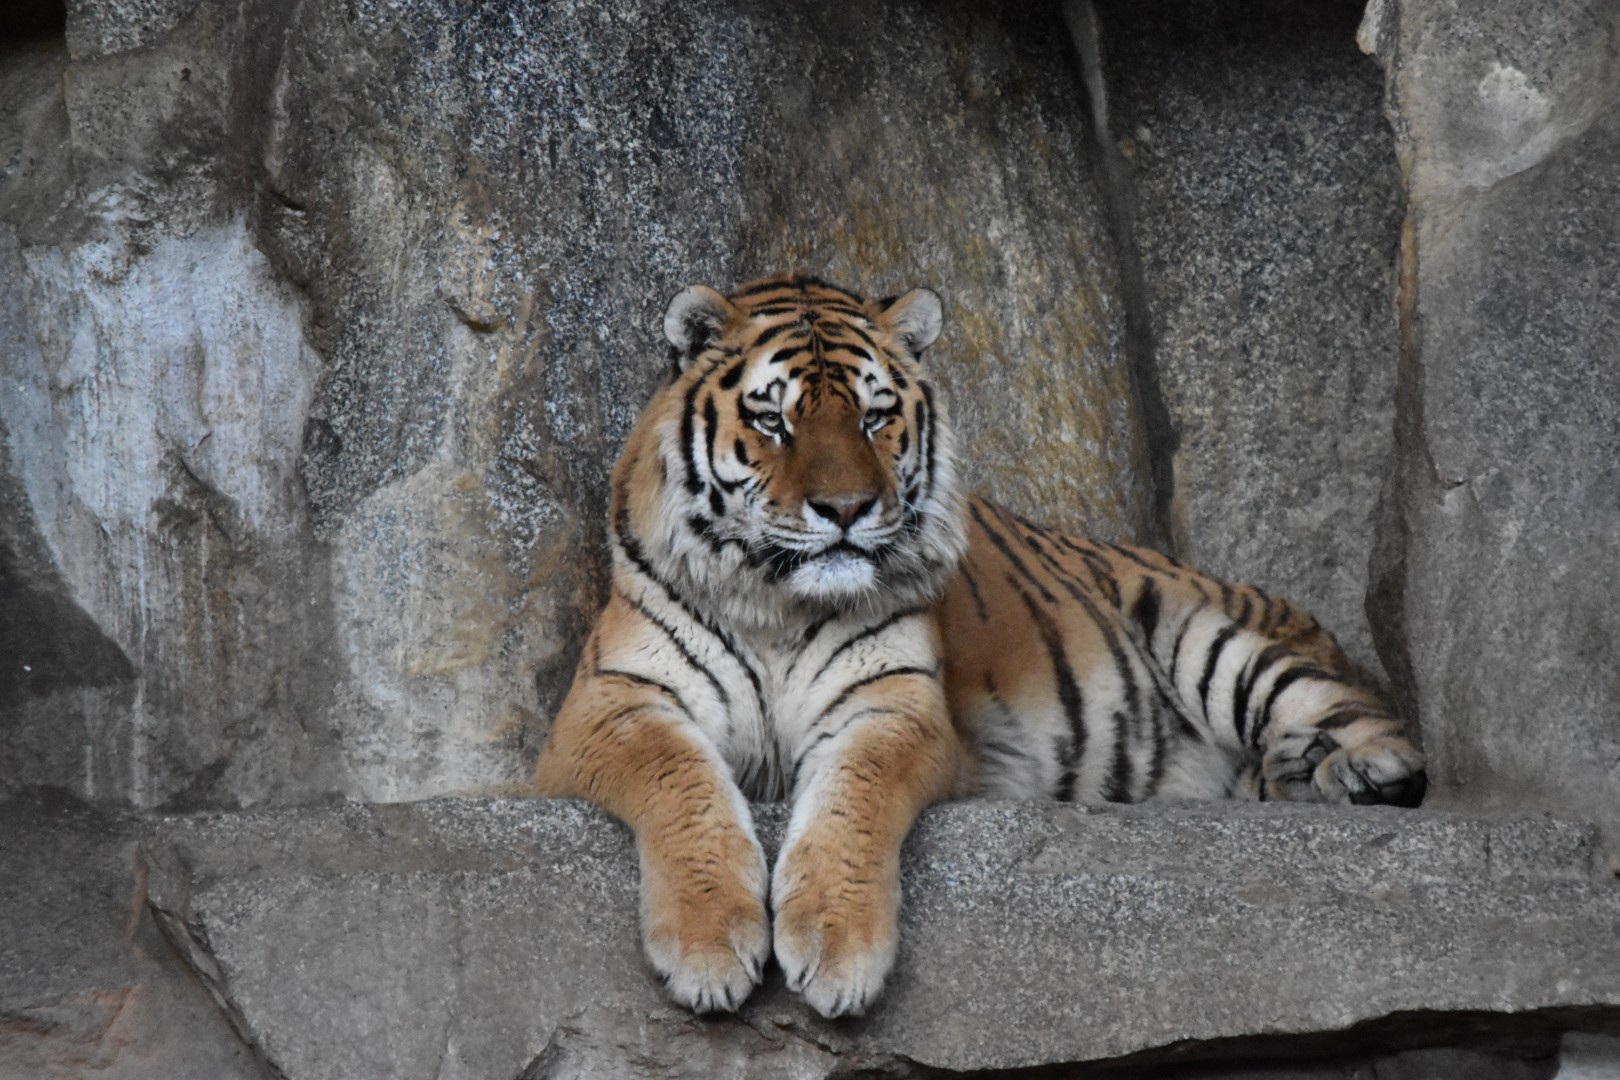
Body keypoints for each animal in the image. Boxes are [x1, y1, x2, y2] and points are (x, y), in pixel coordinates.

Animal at [533, 273, 1426, 1020]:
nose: (846, 509)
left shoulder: (896, 703)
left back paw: (1358, 772)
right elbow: (679, 780)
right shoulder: (611, 702)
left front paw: (836, 950)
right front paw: (710, 947)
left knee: (1368, 721)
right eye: (772, 418)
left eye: (873, 416)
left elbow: (854, 797)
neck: (777, 604)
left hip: (1208, 635)